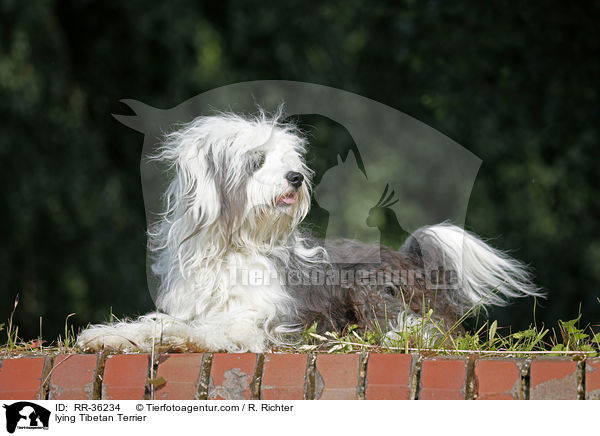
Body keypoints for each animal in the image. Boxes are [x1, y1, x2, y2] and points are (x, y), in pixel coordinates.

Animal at [77, 110, 540, 352]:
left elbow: (195, 330)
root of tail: (410, 254)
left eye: (288, 159)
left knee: (422, 330)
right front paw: (103, 335)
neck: (234, 246)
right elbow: (152, 323)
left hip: (372, 286)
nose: (296, 177)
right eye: (257, 160)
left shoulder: (251, 324)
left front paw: (170, 337)